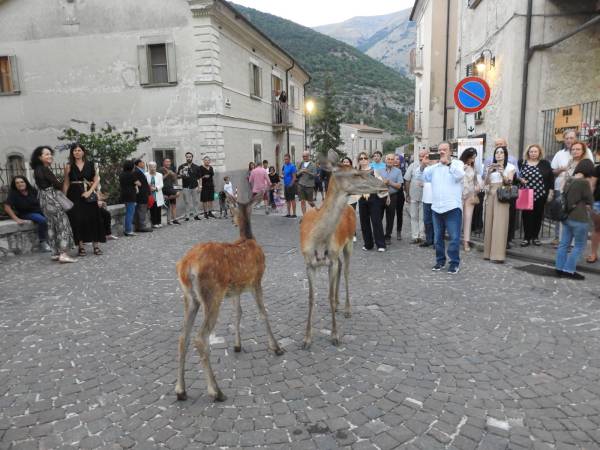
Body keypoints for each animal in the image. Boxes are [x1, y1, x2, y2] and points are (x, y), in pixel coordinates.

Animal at [176, 192, 284, 400]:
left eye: (234, 210)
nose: (232, 221)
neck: (248, 239)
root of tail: (187, 266)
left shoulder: (235, 290)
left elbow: (238, 313)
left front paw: (237, 346)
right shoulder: (256, 280)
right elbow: (263, 313)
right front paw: (276, 348)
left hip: (190, 298)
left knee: (183, 337)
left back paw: (180, 390)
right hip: (212, 295)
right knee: (200, 337)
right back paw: (216, 391)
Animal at [300, 153, 390, 350]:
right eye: (356, 173)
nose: (385, 184)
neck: (318, 240)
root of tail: (349, 206)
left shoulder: (331, 259)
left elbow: (328, 296)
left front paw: (335, 336)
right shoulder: (309, 263)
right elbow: (311, 298)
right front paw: (307, 339)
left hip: (348, 244)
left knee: (347, 271)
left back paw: (347, 308)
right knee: (341, 267)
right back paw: (339, 303)